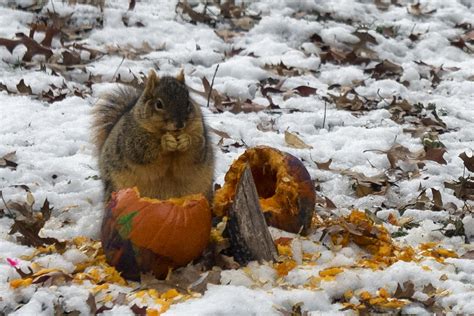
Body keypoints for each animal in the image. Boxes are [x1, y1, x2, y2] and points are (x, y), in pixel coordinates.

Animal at [92, 70, 215, 201]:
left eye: (187, 102)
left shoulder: (198, 129)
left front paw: (186, 140)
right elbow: (141, 150)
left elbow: (198, 150)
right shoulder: (132, 137)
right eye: (159, 104)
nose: (179, 124)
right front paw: (165, 142)